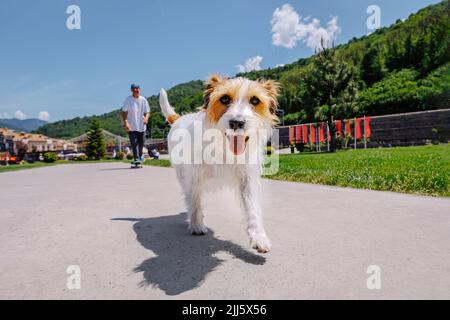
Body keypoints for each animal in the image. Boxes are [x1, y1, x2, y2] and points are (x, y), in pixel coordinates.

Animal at [158, 74, 278, 252]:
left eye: (255, 100)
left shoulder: (247, 180)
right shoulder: (194, 178)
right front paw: (196, 225)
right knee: (187, 196)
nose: (236, 122)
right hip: (182, 175)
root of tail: (179, 118)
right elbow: (194, 201)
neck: (223, 147)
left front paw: (259, 237)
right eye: (225, 98)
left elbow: (253, 208)